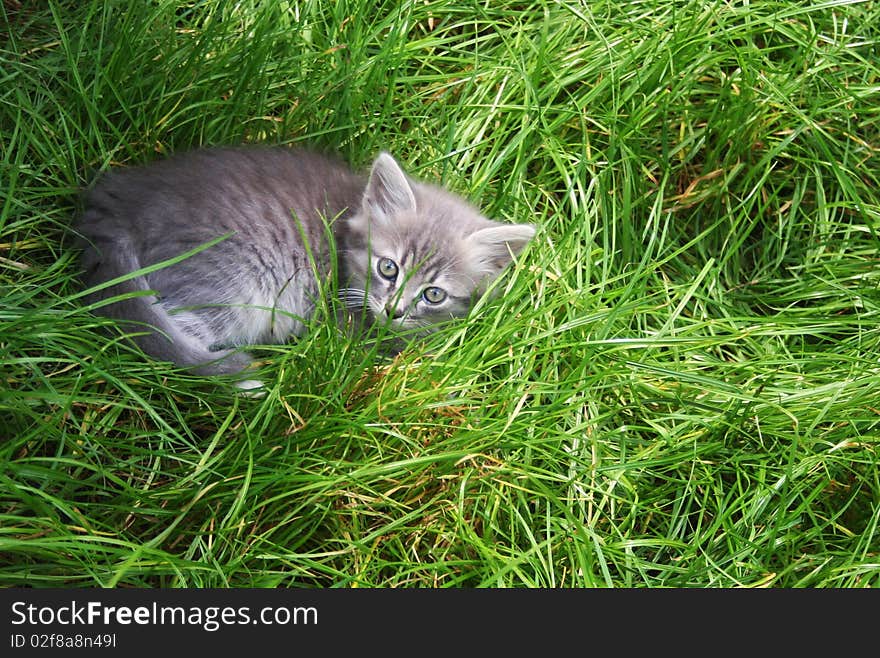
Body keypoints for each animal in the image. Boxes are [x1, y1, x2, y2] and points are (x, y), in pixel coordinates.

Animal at [79, 145, 536, 380]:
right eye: (388, 268)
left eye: (434, 294)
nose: (395, 310)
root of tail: (123, 200)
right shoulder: (344, 323)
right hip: (232, 283)